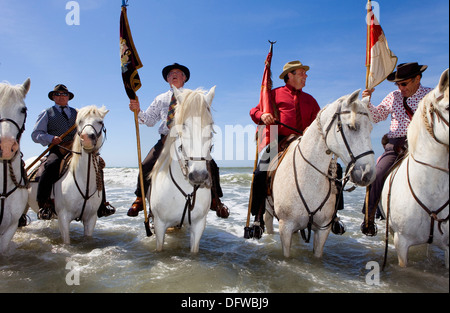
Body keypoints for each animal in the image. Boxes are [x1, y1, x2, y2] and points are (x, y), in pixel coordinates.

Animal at [26, 105, 109, 244]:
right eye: (79, 121)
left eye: (100, 122)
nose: (87, 139)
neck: (84, 181)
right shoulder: (63, 217)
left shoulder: (91, 218)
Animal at [268, 89, 376, 256]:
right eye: (352, 126)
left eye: (370, 129)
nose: (368, 174)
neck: (309, 180)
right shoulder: (285, 227)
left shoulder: (322, 229)